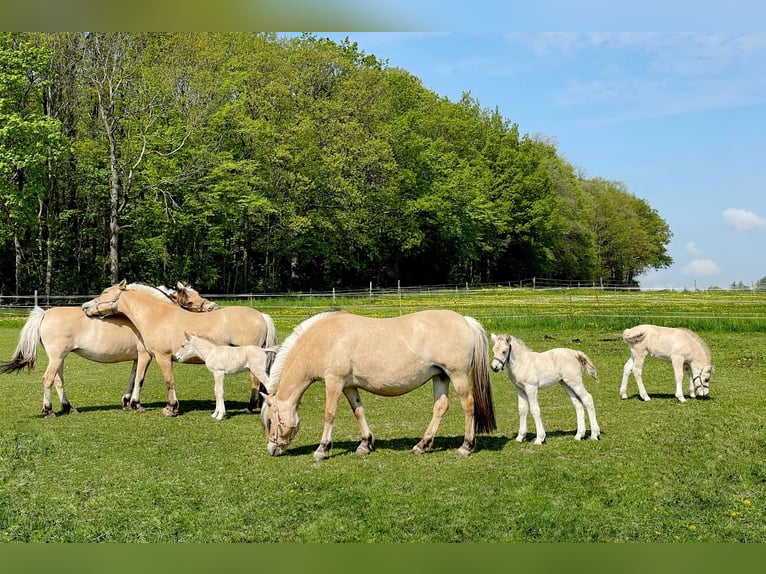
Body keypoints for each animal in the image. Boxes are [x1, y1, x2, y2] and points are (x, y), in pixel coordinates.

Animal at [0, 284, 216, 417]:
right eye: (190, 301)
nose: (213, 306)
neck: (147, 315)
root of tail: (45, 313)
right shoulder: (145, 355)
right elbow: (140, 379)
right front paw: (136, 405)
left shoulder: (137, 358)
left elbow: (133, 378)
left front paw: (127, 402)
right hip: (56, 357)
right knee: (47, 379)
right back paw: (49, 410)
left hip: (59, 358)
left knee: (58, 381)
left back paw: (68, 408)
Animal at [81, 280, 277, 416]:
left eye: (105, 292)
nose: (85, 307)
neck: (156, 315)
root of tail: (261, 315)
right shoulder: (146, 355)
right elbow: (139, 378)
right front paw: (135, 404)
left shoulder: (163, 357)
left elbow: (168, 381)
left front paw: (170, 408)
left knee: (255, 381)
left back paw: (249, 408)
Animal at [261, 309, 497, 461]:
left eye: (270, 421)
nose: (272, 449)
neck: (324, 341)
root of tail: (465, 321)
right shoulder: (348, 386)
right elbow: (358, 411)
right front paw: (365, 444)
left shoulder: (334, 382)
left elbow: (329, 414)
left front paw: (322, 450)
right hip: (441, 377)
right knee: (440, 407)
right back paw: (422, 445)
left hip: (457, 375)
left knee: (468, 405)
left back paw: (466, 447)